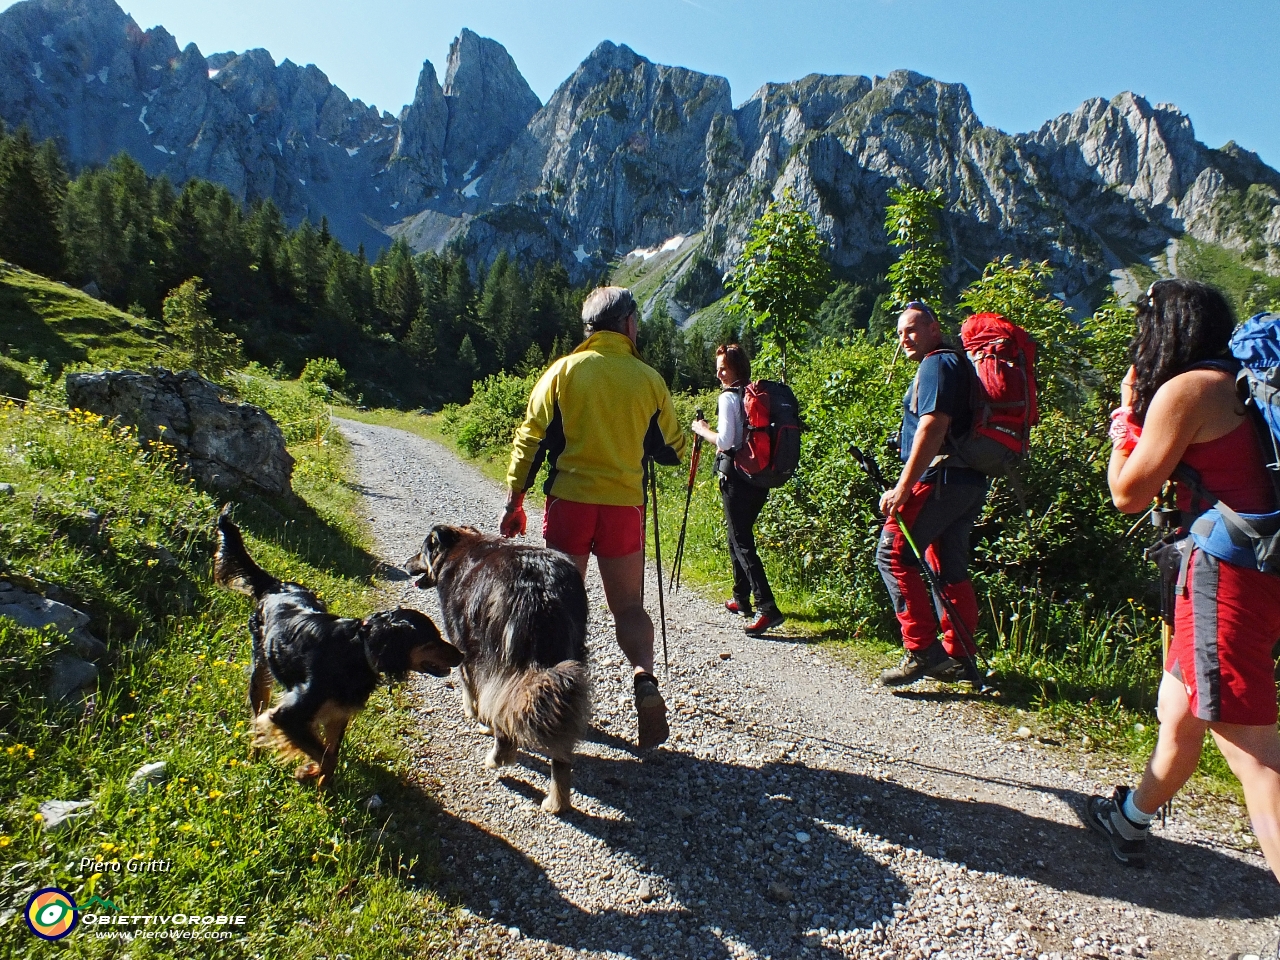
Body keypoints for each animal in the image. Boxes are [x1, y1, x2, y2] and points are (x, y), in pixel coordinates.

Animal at [212, 512, 463, 788]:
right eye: (432, 639)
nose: (462, 655)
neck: (356, 652)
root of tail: (277, 585)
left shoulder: (338, 714)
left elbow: (330, 754)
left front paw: (321, 787)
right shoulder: (288, 716)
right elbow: (327, 757)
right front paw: (306, 773)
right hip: (261, 672)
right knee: (256, 717)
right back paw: (254, 755)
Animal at [404, 529, 588, 814]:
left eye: (422, 551)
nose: (405, 564)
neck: (456, 549)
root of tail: (541, 588)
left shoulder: (464, 648)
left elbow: (470, 688)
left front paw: (477, 716)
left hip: (500, 657)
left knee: (505, 712)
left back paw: (498, 757)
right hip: (567, 658)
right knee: (561, 738)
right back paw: (557, 801)